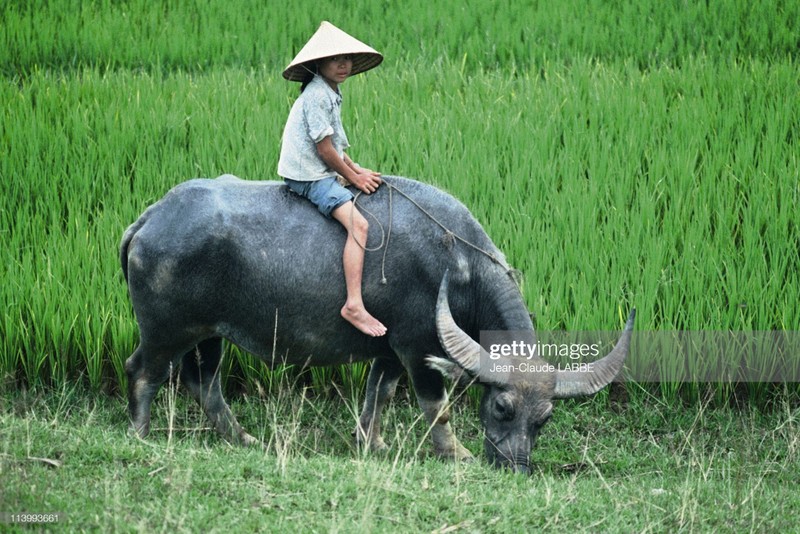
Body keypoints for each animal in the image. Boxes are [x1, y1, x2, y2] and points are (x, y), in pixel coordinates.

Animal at [119, 176, 636, 474]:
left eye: (544, 419)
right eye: (502, 407)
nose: (517, 466)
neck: (458, 265)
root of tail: (148, 219)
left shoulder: (388, 351)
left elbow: (380, 395)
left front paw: (372, 442)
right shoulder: (417, 348)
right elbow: (436, 407)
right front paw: (456, 454)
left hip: (208, 334)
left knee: (204, 383)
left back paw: (243, 438)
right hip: (167, 331)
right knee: (143, 370)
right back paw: (140, 434)